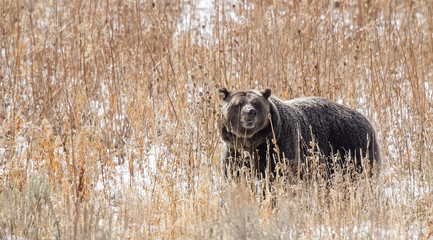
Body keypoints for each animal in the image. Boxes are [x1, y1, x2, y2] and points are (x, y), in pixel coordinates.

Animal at [221, 88, 380, 180]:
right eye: (239, 103)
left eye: (256, 103)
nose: (250, 112)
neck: (251, 142)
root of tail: (368, 121)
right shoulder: (234, 153)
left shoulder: (278, 148)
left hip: (351, 149)